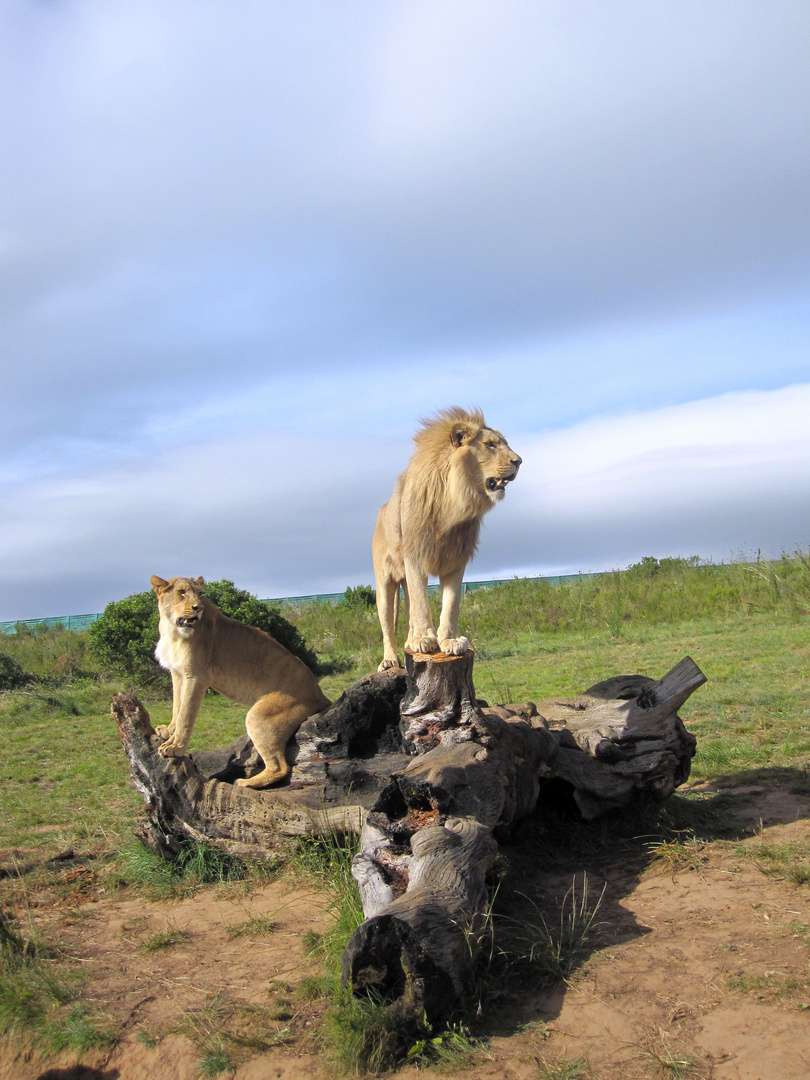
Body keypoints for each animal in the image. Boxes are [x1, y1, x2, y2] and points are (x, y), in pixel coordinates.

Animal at [152, 578, 330, 790]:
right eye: (181, 592)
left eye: (200, 594)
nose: (198, 608)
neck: (172, 631)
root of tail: (321, 695)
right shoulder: (178, 674)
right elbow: (176, 707)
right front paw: (167, 732)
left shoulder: (196, 677)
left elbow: (185, 715)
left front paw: (175, 747)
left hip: (259, 716)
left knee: (280, 767)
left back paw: (244, 782)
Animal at [373, 408, 520, 669]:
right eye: (490, 444)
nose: (519, 461)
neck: (453, 502)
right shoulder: (415, 556)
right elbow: (421, 603)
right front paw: (424, 639)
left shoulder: (456, 558)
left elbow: (451, 604)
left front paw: (449, 640)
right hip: (384, 583)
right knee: (387, 626)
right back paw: (390, 659)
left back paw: (410, 640)